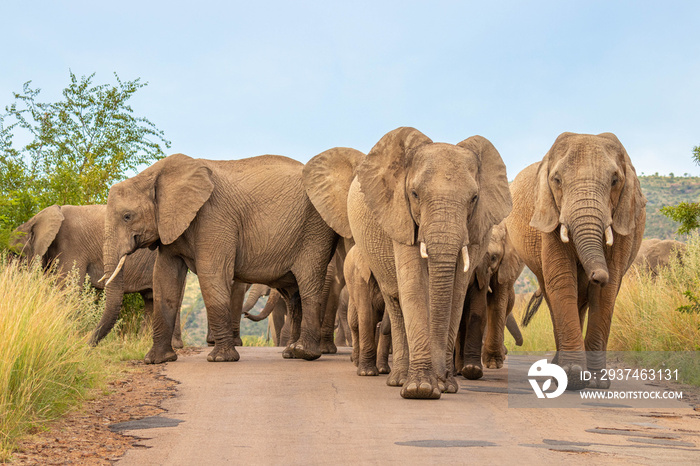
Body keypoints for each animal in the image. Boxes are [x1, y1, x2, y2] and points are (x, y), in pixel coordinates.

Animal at [10, 204, 183, 346]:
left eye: (14, 254)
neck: (34, 220)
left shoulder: (71, 246)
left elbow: (68, 290)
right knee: (150, 298)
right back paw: (142, 342)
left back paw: (173, 345)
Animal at [100, 153, 338, 364]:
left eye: (127, 216)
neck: (154, 175)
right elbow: (164, 279)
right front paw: (156, 360)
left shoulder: (213, 217)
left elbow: (212, 274)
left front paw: (220, 359)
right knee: (293, 295)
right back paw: (291, 353)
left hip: (315, 231)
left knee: (308, 284)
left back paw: (305, 353)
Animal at [304, 127, 512, 396]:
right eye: (414, 194)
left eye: (474, 198)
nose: (442, 377)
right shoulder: (400, 216)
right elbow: (413, 287)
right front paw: (421, 389)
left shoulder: (477, 228)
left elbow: (456, 295)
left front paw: (444, 386)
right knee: (395, 302)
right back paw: (399, 379)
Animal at [504, 131, 644, 390]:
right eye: (557, 180)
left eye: (615, 181)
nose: (596, 274)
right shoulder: (549, 216)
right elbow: (562, 280)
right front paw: (573, 375)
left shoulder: (623, 219)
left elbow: (606, 292)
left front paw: (596, 382)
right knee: (554, 296)